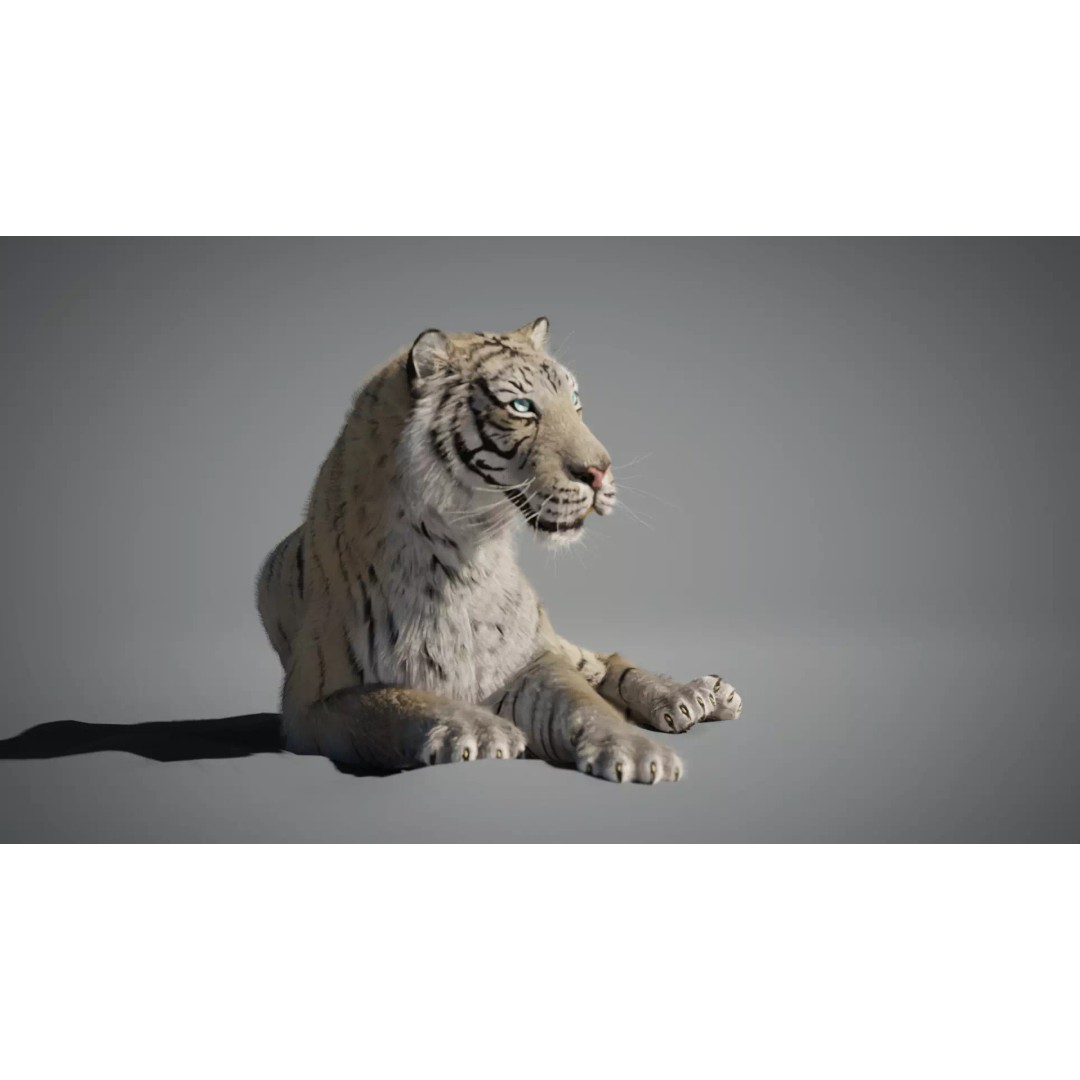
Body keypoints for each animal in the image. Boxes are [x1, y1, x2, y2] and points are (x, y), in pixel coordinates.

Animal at [256, 318, 743, 783]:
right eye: (521, 407)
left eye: (575, 399)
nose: (601, 472)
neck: (459, 558)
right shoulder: (310, 706)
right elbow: (392, 701)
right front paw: (477, 729)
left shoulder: (529, 659)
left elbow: (584, 702)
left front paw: (639, 753)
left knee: (605, 661)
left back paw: (697, 695)